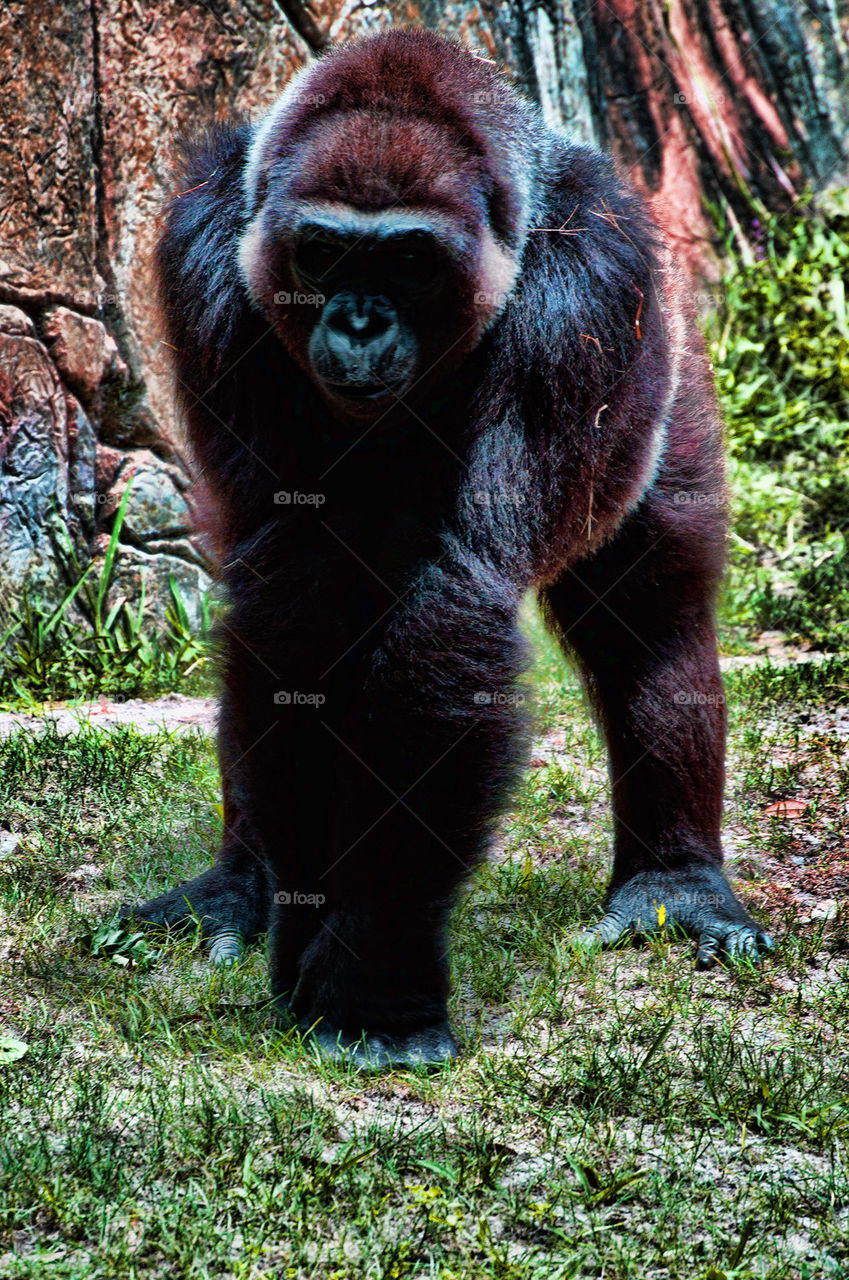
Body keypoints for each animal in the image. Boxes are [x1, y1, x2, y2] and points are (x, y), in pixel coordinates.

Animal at [128, 27, 773, 1068]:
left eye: (408, 260)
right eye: (321, 250)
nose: (357, 321)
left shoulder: (592, 286)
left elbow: (451, 612)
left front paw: (369, 977)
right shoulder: (207, 250)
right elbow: (294, 603)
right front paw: (307, 925)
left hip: (666, 347)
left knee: (653, 617)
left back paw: (673, 884)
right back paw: (240, 885)